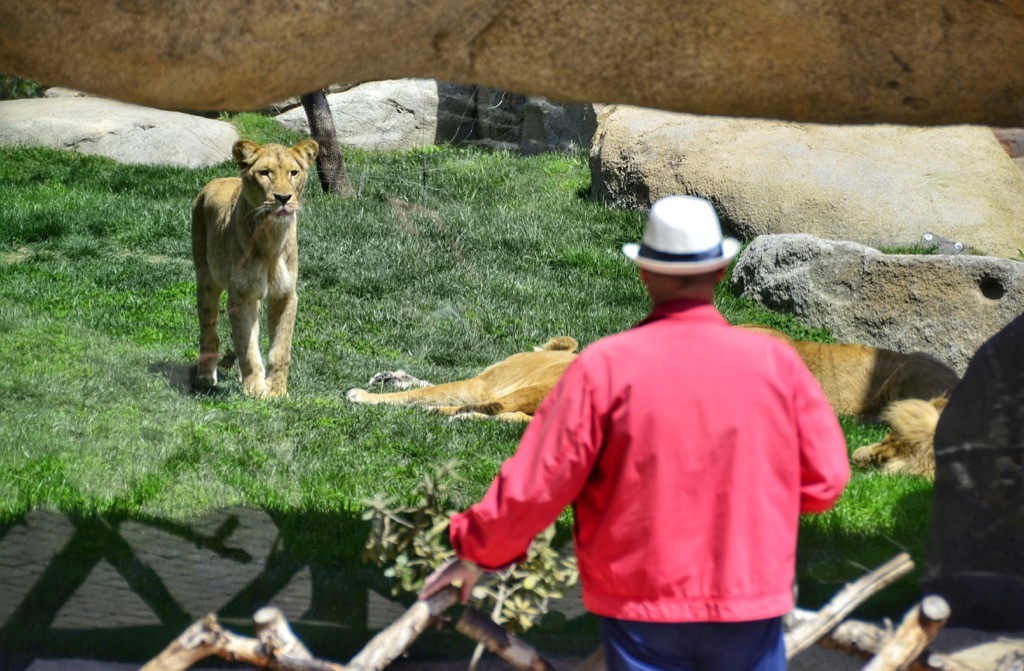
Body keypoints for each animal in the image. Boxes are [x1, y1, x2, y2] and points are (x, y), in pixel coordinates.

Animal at [191, 138, 319, 398]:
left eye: (293, 172)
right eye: (265, 173)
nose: (283, 197)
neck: (271, 236)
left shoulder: (285, 295)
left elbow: (280, 349)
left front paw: (277, 391)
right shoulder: (241, 296)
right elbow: (247, 349)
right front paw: (255, 391)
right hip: (206, 279)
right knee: (209, 331)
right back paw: (206, 377)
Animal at [346, 337, 579, 421]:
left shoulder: (481, 384)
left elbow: (431, 391)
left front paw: (363, 395)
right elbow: (430, 386)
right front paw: (391, 378)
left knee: (498, 406)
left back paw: (436, 411)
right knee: (510, 415)